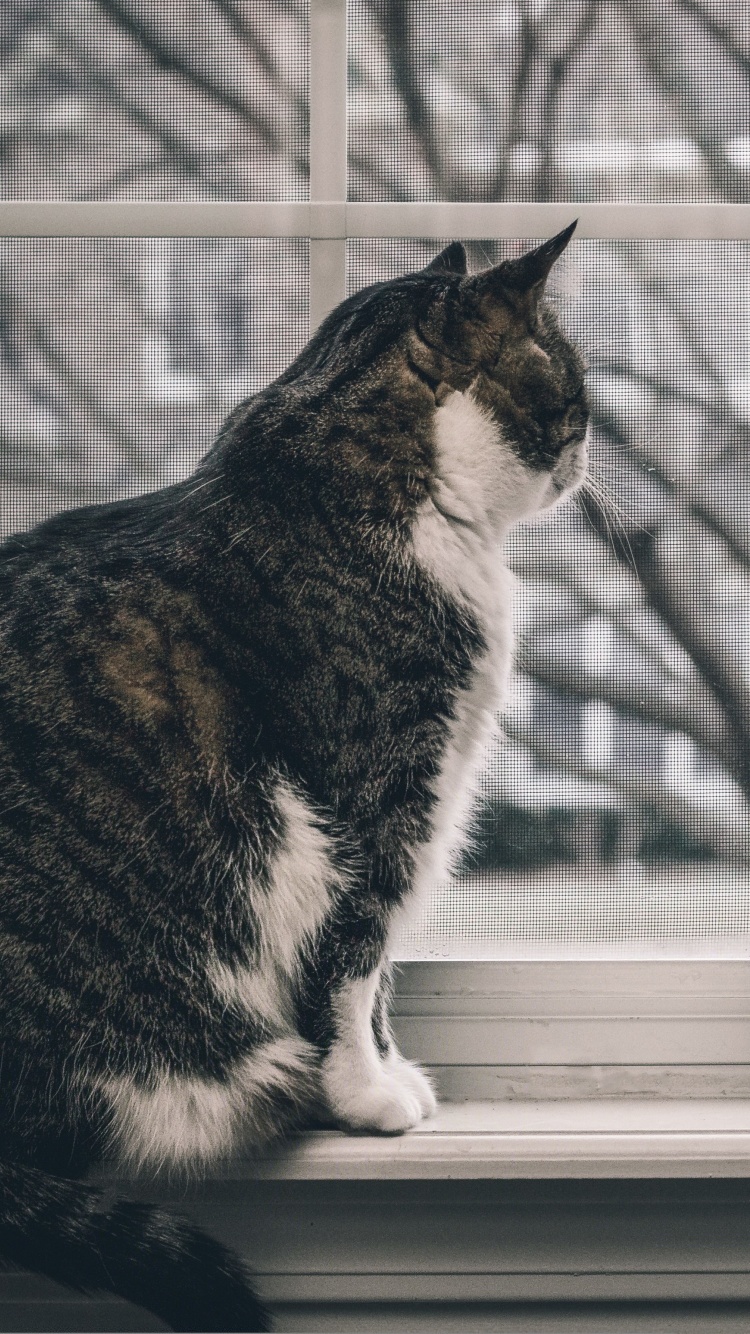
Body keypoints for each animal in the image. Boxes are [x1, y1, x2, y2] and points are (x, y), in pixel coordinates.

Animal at [0, 224, 587, 1328]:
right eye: (573, 390)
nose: (589, 451)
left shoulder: (415, 800)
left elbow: (384, 969)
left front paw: (394, 1071)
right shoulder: (376, 795)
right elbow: (353, 961)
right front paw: (367, 1095)